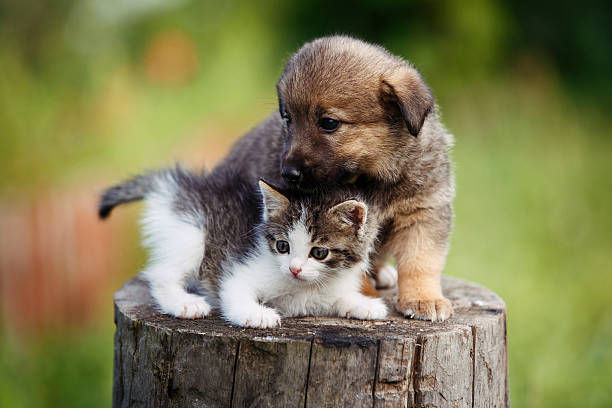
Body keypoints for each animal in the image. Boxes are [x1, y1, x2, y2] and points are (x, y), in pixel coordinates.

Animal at [100, 166, 388, 328]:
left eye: (319, 252)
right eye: (282, 246)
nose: (294, 269)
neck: (304, 287)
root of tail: (179, 188)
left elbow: (339, 299)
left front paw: (365, 305)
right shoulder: (239, 271)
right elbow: (235, 291)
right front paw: (255, 314)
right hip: (191, 233)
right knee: (161, 274)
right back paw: (184, 303)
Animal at [215, 35, 454, 320]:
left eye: (329, 123)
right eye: (288, 118)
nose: (288, 173)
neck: (373, 177)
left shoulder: (423, 211)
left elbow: (421, 261)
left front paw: (424, 298)